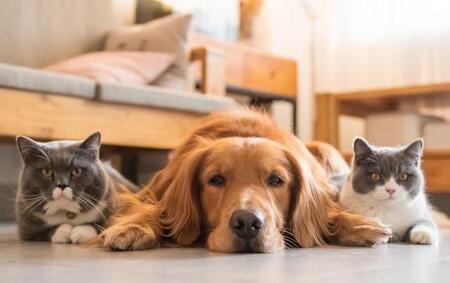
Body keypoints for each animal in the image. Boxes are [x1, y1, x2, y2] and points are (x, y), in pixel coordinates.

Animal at [102, 110, 390, 254]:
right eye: (216, 179)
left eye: (276, 180)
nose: (248, 223)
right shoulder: (155, 190)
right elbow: (151, 209)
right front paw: (132, 227)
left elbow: (330, 214)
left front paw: (361, 225)